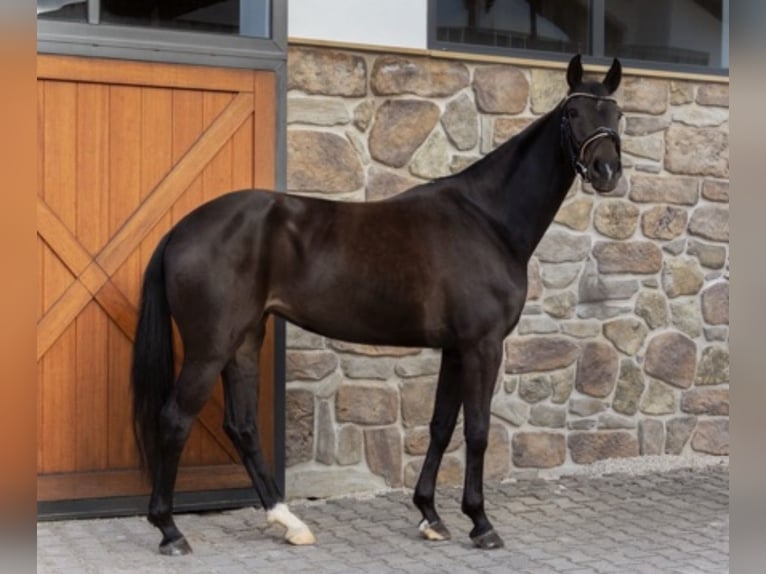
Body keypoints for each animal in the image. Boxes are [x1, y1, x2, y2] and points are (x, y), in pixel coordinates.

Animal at [131, 53, 623, 554]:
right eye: (573, 113)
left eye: (617, 114)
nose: (607, 170)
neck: (487, 220)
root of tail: (180, 230)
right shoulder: (482, 346)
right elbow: (478, 429)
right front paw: (480, 522)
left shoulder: (455, 348)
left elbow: (441, 425)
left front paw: (430, 514)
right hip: (210, 347)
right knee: (175, 418)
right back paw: (170, 530)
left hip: (245, 340)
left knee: (242, 425)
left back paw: (288, 521)